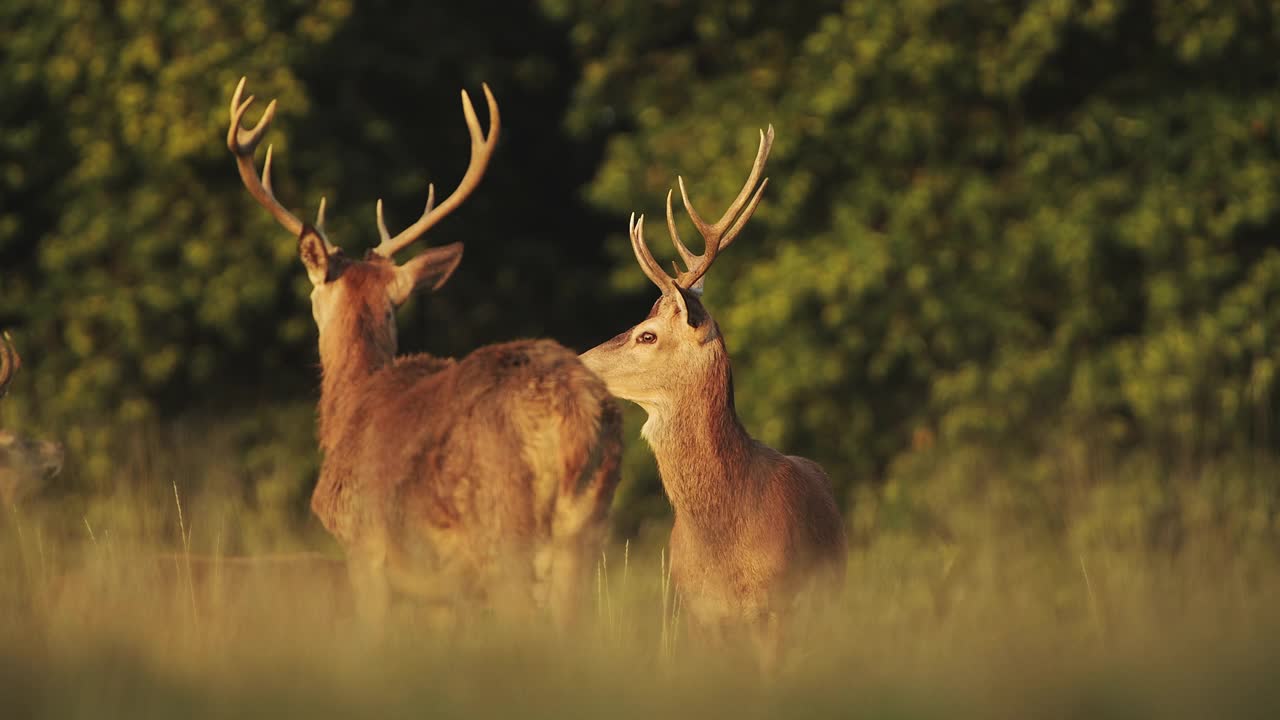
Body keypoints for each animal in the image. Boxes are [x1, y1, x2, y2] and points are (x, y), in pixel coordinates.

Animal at [227, 78, 622, 625]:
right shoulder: (443, 593)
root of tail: (575, 412)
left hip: (503, 526)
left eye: (313, 296)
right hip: (585, 530)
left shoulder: (365, 550)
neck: (348, 409)